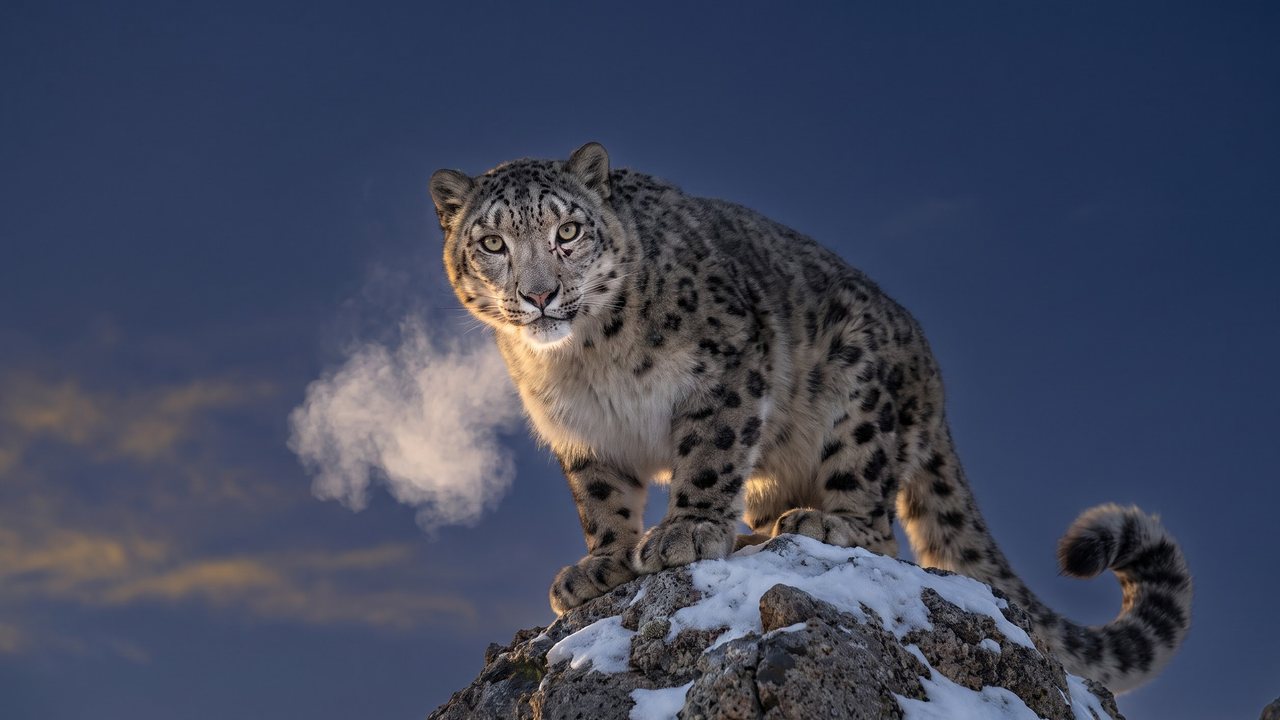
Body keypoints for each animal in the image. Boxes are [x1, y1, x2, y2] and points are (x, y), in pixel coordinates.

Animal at [429, 142, 1192, 692]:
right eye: (493, 243)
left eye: (567, 230)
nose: (539, 295)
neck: (583, 361)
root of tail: (932, 373)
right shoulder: (584, 434)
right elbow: (602, 502)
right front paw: (603, 566)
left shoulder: (726, 366)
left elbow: (710, 453)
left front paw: (686, 532)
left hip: (860, 408)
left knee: (878, 523)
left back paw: (820, 523)